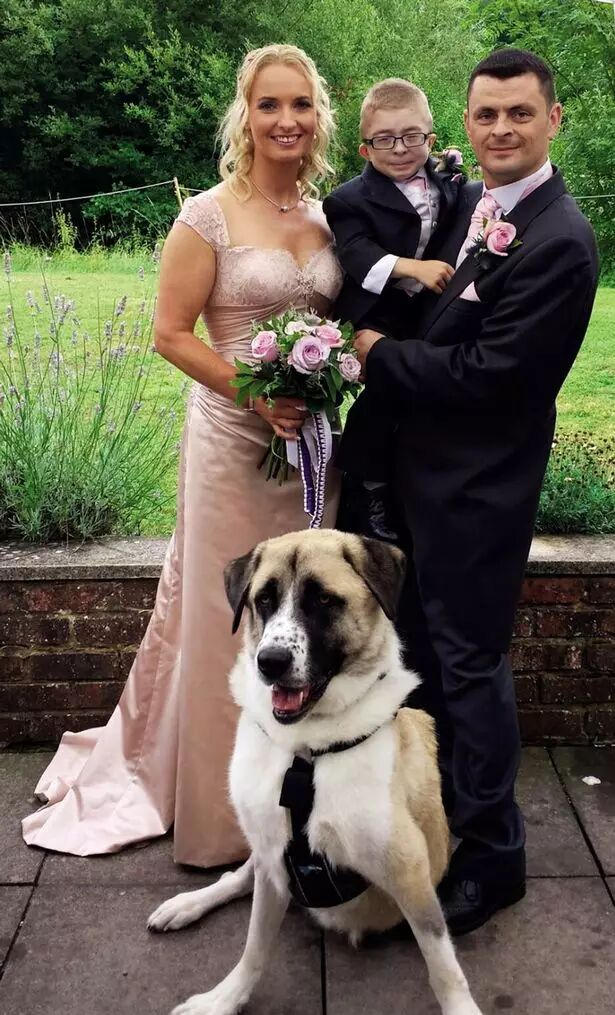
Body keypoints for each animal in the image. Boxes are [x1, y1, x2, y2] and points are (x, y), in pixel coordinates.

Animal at [148, 529, 482, 1015]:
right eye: (264, 599)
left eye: (324, 600)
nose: (269, 662)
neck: (306, 751)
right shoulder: (275, 860)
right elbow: (254, 947)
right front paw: (224, 998)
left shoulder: (410, 871)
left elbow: (444, 966)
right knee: (238, 876)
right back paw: (188, 904)